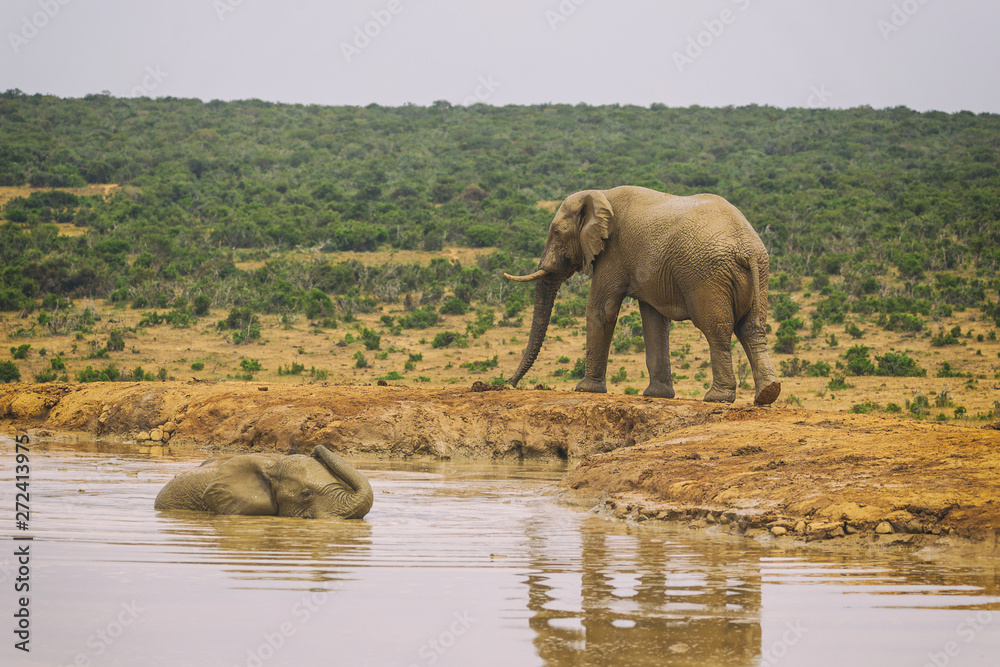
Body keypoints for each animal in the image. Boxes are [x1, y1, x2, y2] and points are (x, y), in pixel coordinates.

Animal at [504, 186, 781, 405]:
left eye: (557, 233)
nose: (508, 383)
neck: (601, 195)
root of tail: (747, 249)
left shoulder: (613, 252)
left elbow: (601, 311)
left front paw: (585, 389)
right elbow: (654, 319)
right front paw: (657, 395)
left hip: (707, 275)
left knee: (717, 330)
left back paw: (717, 397)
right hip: (760, 272)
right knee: (752, 329)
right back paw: (767, 393)